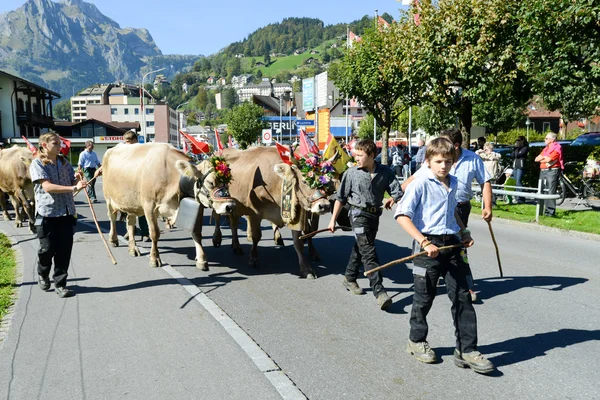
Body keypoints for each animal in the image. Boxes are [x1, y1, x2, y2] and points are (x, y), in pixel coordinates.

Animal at [103, 143, 234, 268]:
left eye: (228, 182)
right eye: (210, 182)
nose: (230, 206)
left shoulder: (198, 205)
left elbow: (197, 233)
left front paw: (202, 259)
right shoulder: (149, 206)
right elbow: (154, 233)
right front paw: (154, 258)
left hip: (131, 203)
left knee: (130, 223)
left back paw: (133, 248)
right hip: (109, 199)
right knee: (112, 218)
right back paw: (113, 239)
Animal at [213, 146, 330, 278]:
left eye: (325, 180)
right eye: (305, 181)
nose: (325, 206)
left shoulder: (295, 215)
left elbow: (298, 243)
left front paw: (306, 269)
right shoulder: (254, 213)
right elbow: (256, 236)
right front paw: (253, 258)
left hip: (235, 207)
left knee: (233, 224)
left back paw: (236, 246)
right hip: (220, 201)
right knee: (218, 218)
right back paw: (217, 239)